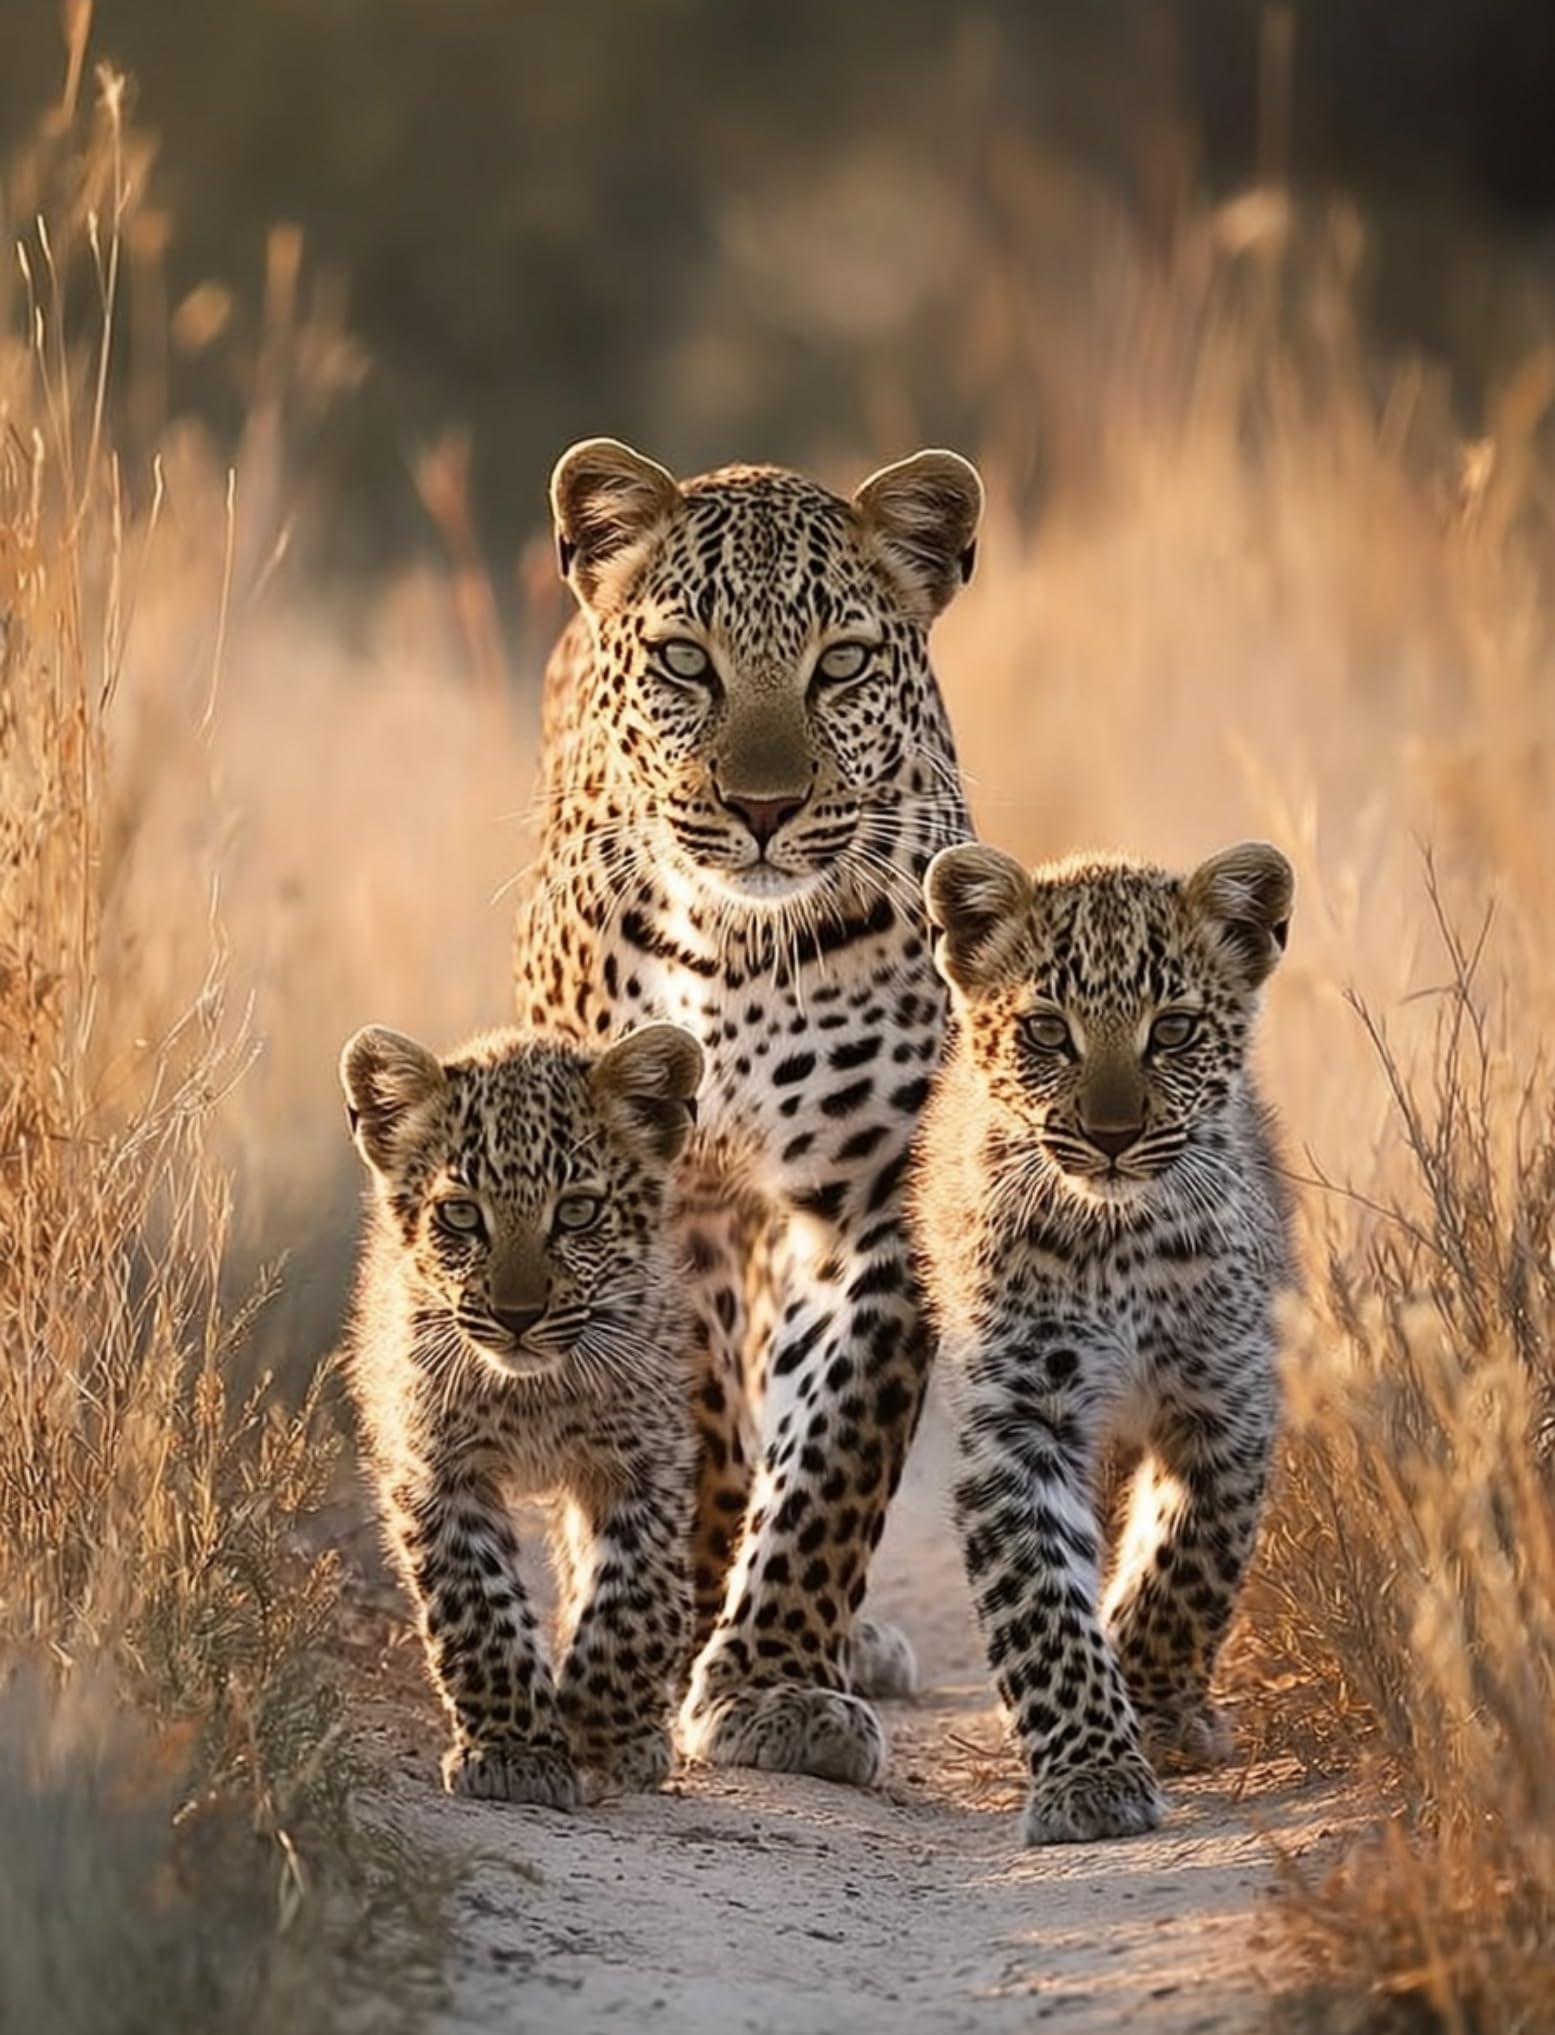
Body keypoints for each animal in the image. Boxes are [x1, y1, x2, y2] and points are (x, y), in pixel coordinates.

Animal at [340, 1017, 703, 1806]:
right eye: (459, 1214)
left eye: (577, 1212)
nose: (516, 1315)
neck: (533, 1394)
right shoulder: (437, 1472)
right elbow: (477, 1605)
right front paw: (516, 1751)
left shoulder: (646, 1460)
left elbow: (637, 1593)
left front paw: (606, 1729)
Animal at [513, 436, 983, 1786]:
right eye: (687, 660)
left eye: (841, 663)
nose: (763, 809)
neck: (736, 951)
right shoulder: (643, 1210)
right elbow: (696, 1417)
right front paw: (673, 1616)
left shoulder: (873, 1199)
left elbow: (833, 1451)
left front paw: (774, 1683)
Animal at [913, 837, 1296, 1844]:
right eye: (1048, 1032)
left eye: (1175, 1030)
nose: (1114, 1134)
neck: (1117, 1236)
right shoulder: (1019, 1417)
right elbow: (1041, 1603)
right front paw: (1089, 1773)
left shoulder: (1224, 1399)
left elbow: (1187, 1558)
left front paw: (1152, 1703)